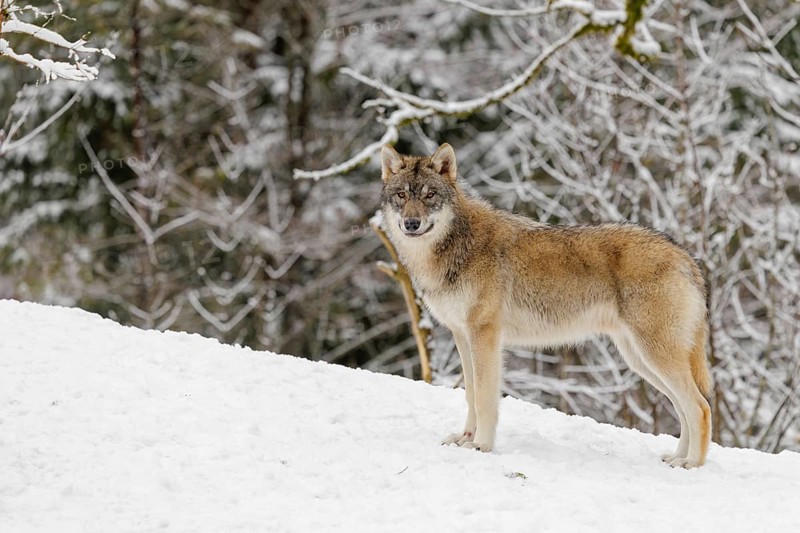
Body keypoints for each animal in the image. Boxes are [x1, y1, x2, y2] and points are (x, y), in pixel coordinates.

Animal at [379, 143, 712, 468]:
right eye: (401, 195)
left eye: (429, 195)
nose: (411, 223)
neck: (456, 245)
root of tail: (685, 257)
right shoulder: (462, 336)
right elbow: (471, 394)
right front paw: (465, 439)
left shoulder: (484, 335)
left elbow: (485, 398)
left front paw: (482, 446)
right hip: (640, 360)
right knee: (684, 408)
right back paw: (677, 457)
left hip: (654, 356)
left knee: (700, 407)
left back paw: (692, 463)